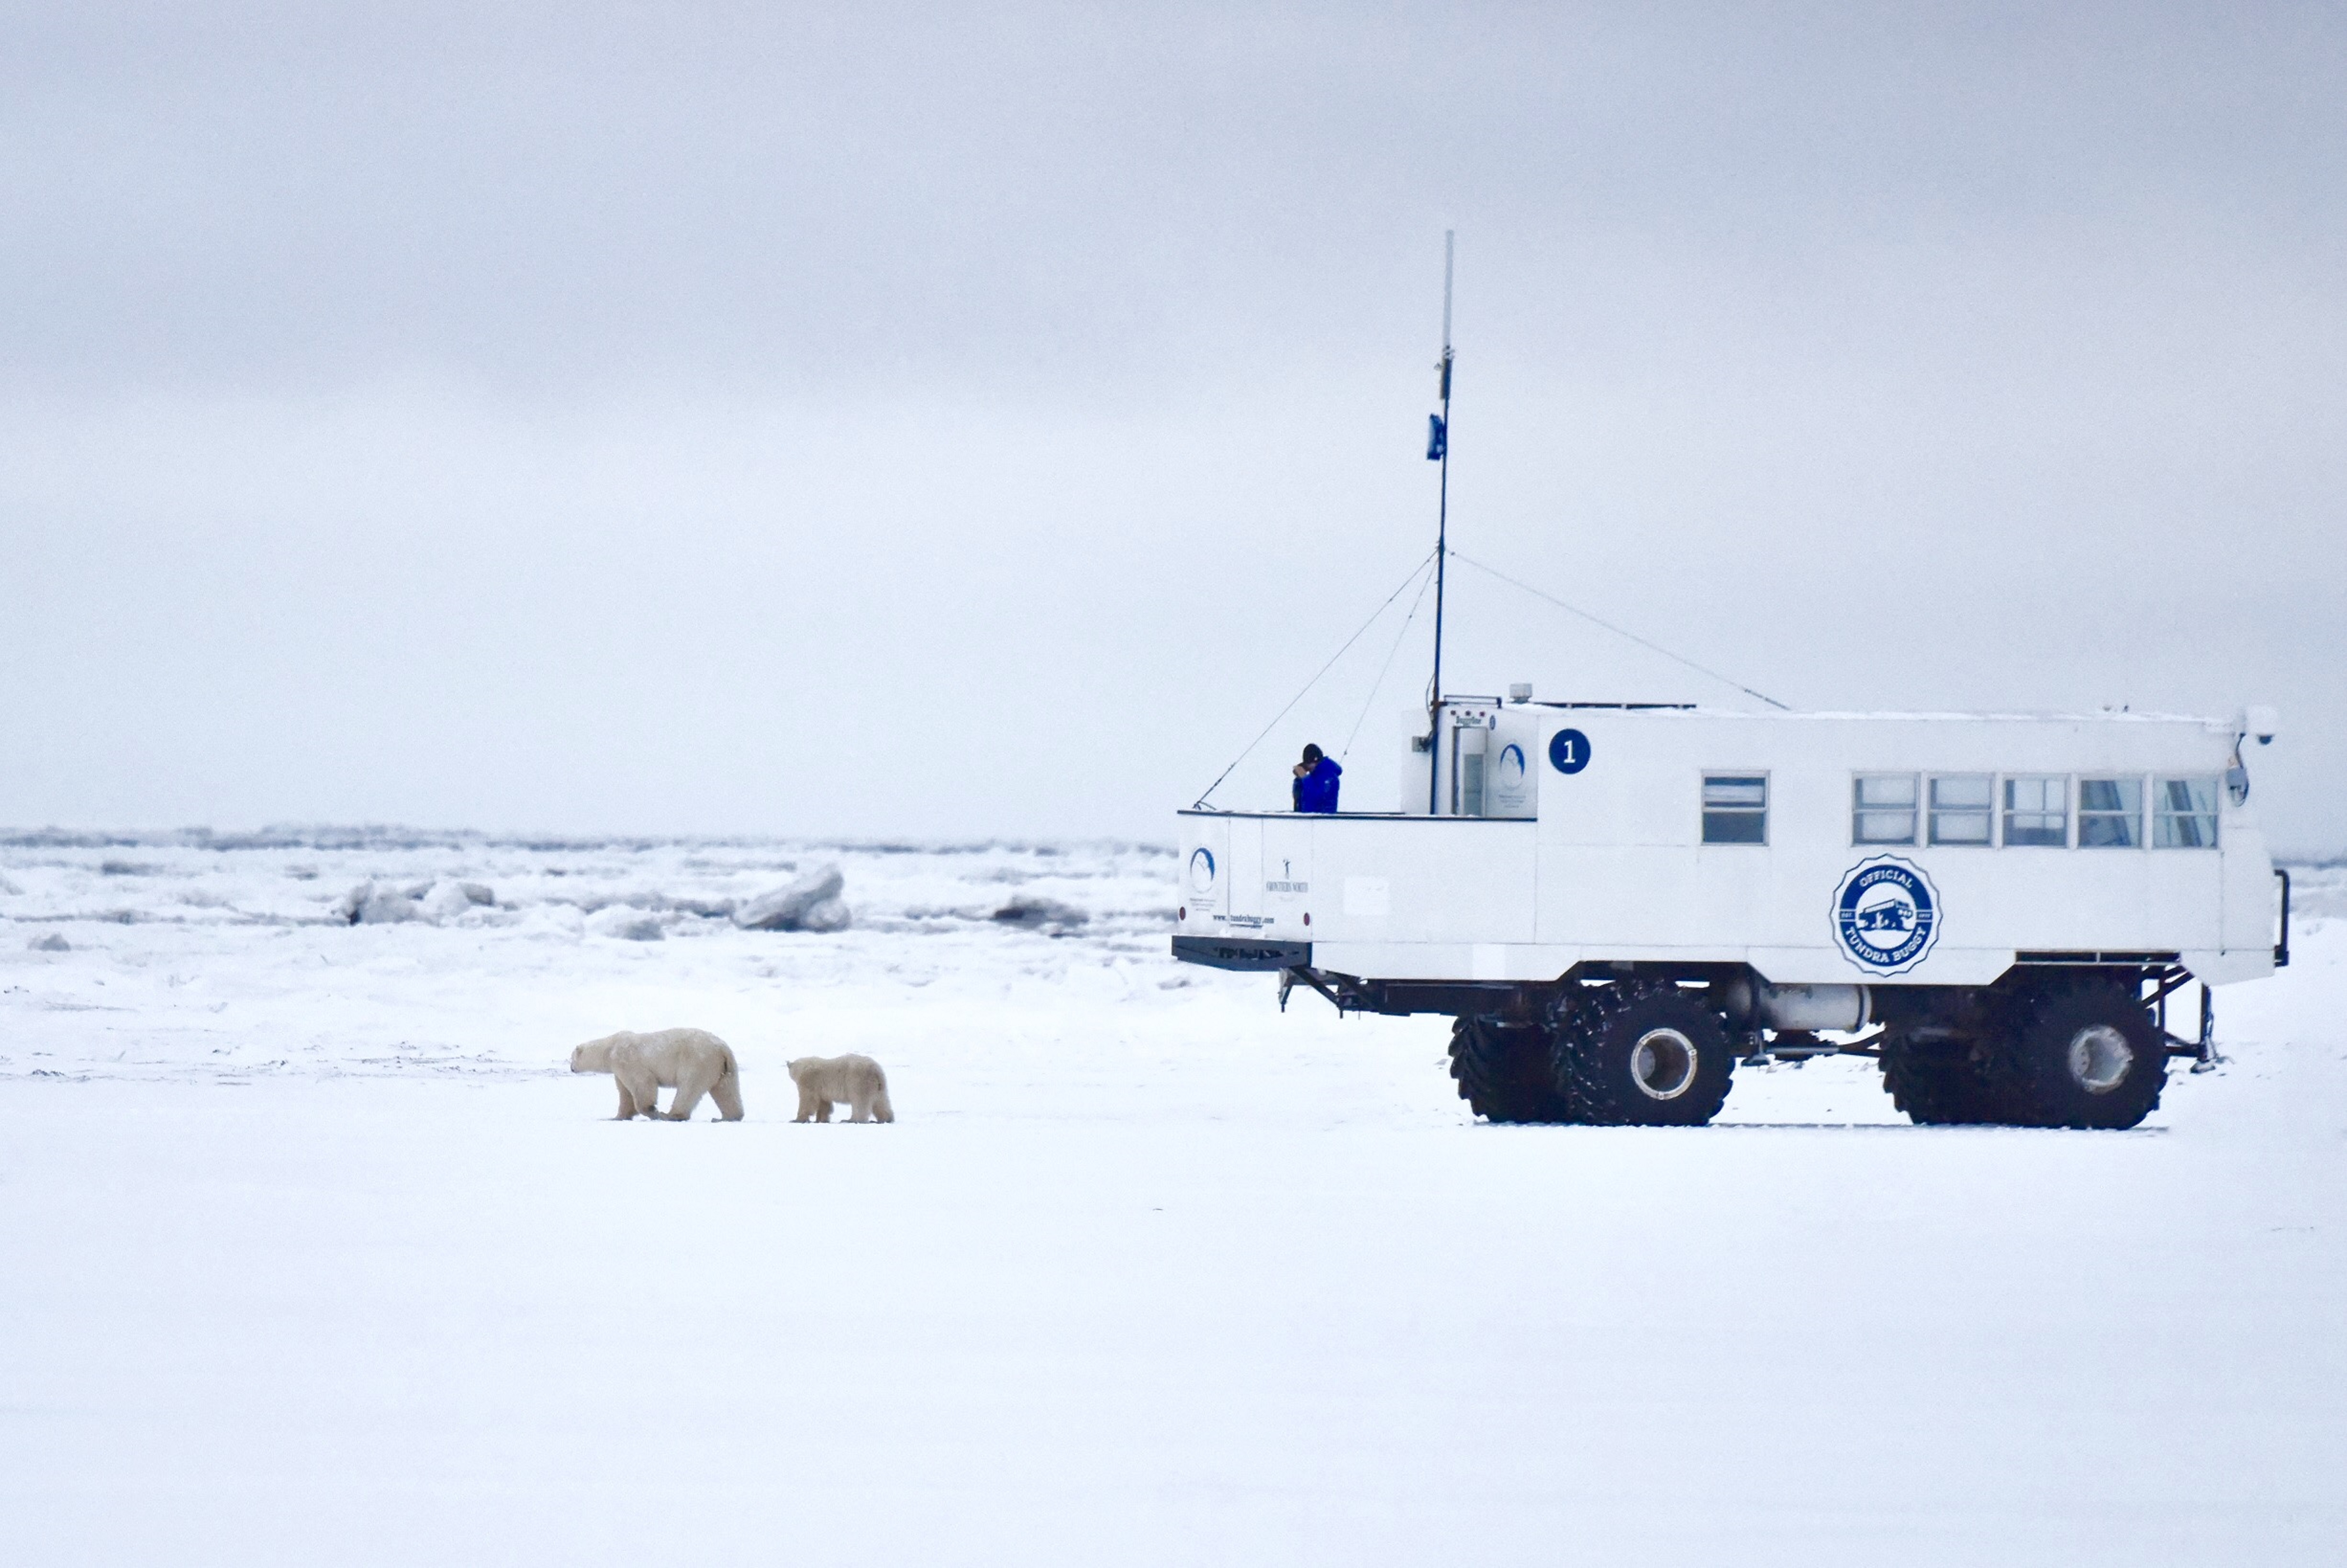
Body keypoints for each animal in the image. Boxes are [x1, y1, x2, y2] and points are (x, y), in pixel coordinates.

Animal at [570, 1023, 741, 1122]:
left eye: (571, 1058)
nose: (571, 1068)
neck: (610, 1049)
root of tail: (722, 1049)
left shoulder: (627, 1061)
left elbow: (643, 1084)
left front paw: (653, 1112)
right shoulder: (619, 1071)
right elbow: (625, 1095)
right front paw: (617, 1117)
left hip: (698, 1061)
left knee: (688, 1087)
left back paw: (671, 1116)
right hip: (724, 1067)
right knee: (726, 1090)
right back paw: (728, 1117)